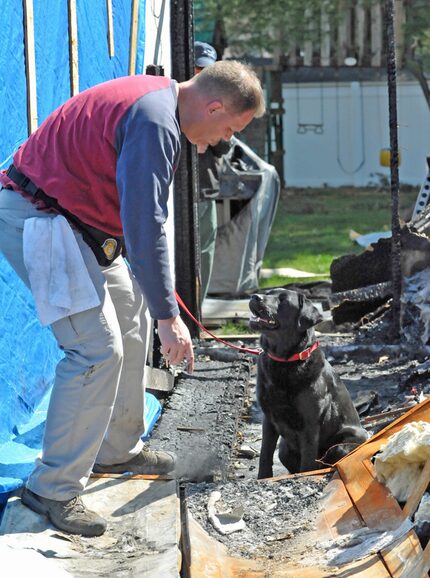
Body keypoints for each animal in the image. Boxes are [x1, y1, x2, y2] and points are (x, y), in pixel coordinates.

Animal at [249, 288, 366, 476]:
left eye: (283, 300)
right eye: (268, 292)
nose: (254, 296)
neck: (285, 361)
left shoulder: (310, 422)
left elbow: (308, 458)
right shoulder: (268, 418)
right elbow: (265, 452)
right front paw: (263, 478)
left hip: (340, 445)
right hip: (284, 449)